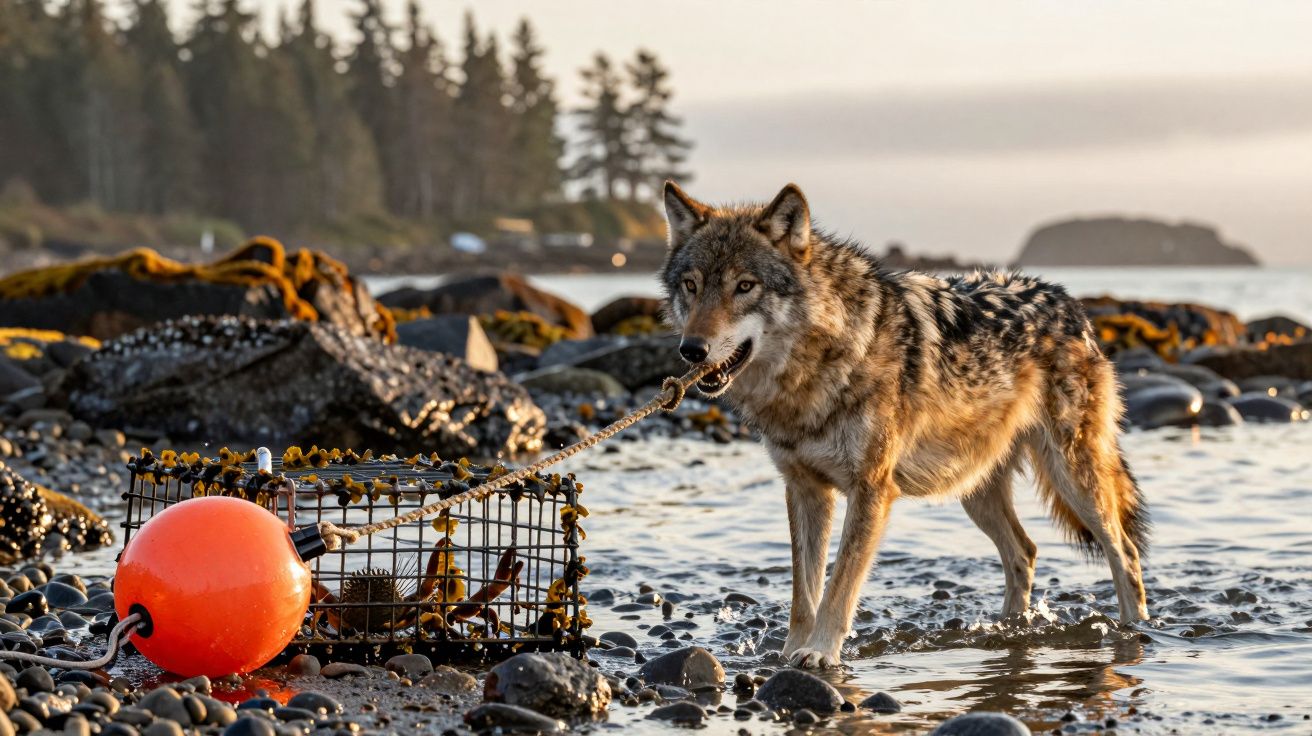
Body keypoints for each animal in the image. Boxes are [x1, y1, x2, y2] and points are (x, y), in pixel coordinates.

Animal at [659, 181, 1149, 669]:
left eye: (745, 286)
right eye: (691, 286)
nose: (691, 349)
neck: (817, 370)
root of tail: (1072, 305)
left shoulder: (872, 490)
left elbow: (839, 586)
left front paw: (820, 653)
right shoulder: (805, 490)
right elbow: (804, 592)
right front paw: (788, 652)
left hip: (1073, 480)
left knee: (1123, 552)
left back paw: (1135, 630)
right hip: (974, 490)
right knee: (1024, 552)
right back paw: (1009, 629)